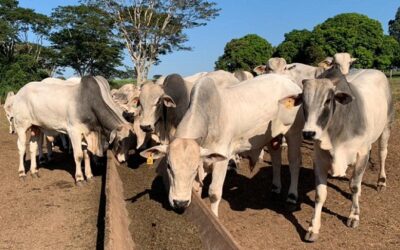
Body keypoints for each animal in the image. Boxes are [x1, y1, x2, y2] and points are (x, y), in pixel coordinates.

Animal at [140, 74, 300, 217]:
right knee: (276, 159)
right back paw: (275, 187)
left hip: (293, 133)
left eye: (194, 168)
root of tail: (290, 81)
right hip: (273, 137)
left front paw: (214, 216)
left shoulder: (221, 160)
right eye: (168, 166)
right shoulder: (204, 160)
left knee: (294, 162)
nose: (180, 202)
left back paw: (291, 196)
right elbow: (197, 188)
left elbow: (214, 193)